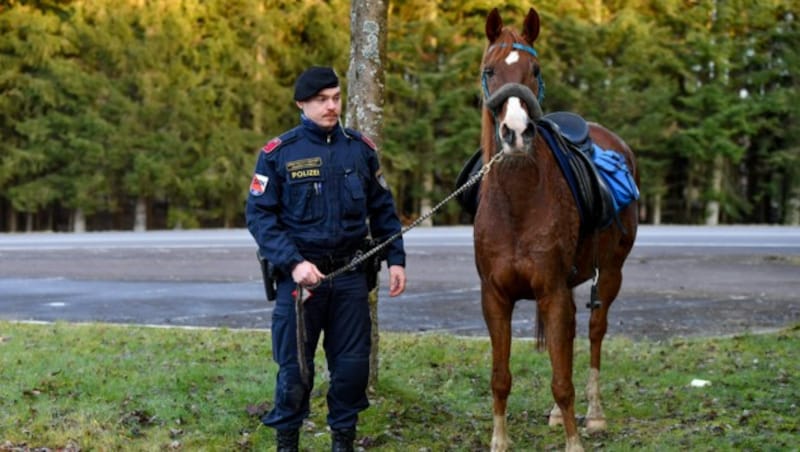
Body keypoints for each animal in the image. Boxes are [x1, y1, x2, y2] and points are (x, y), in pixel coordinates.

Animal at [476, 6, 636, 452]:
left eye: (535, 70)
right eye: (490, 70)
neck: (518, 202)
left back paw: (595, 415)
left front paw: (575, 440)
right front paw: (499, 440)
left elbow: (563, 380)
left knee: (595, 334)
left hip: (610, 274)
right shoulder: (495, 297)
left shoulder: (552, 291)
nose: (516, 132)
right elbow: (501, 377)